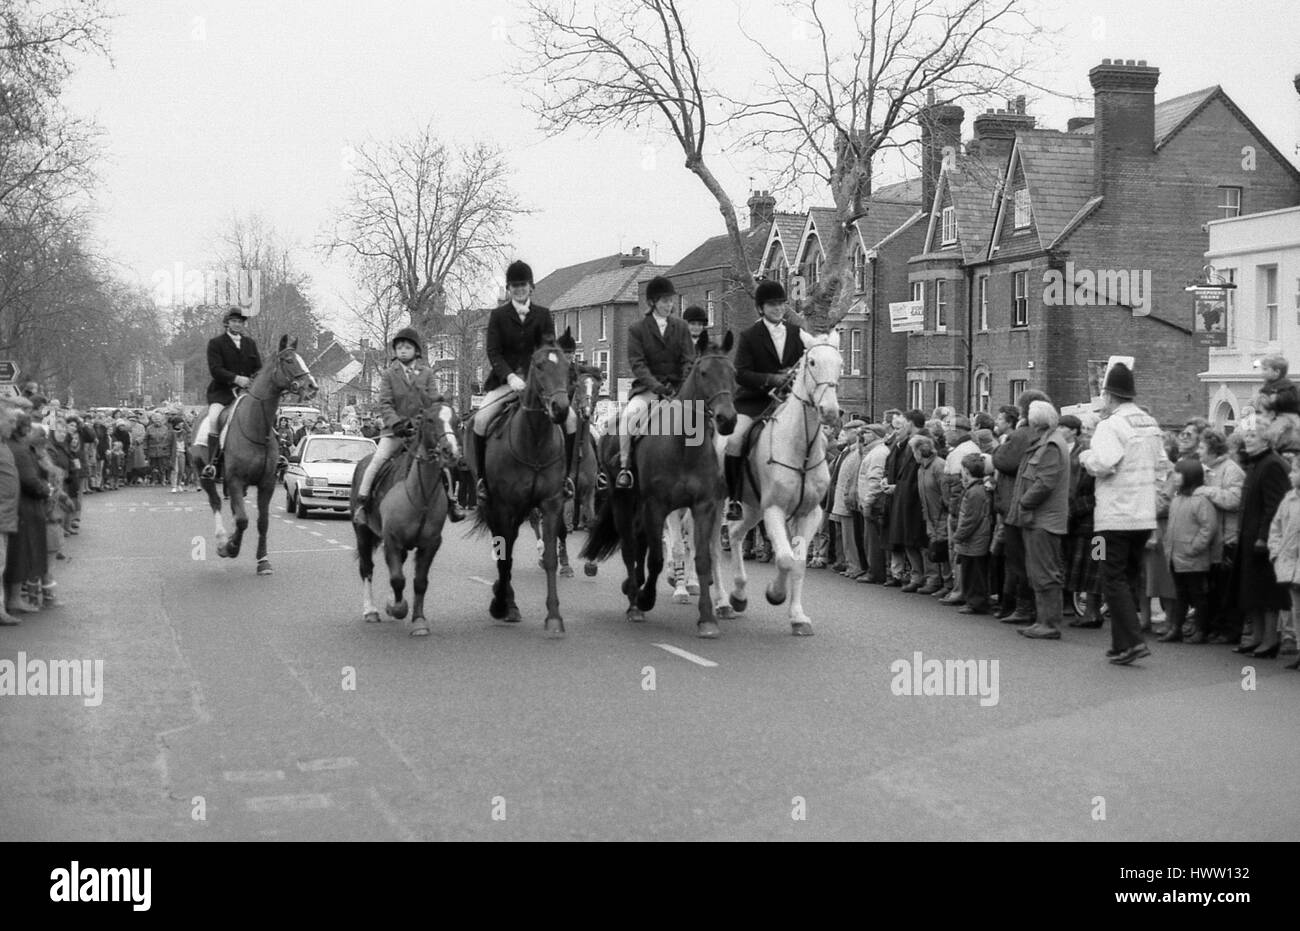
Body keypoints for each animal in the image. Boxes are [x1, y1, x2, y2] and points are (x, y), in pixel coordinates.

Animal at [189, 331, 315, 572]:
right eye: (288, 360)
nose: (313, 387)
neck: (255, 425)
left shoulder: (266, 483)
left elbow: (261, 522)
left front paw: (263, 560)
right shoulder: (235, 480)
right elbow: (243, 520)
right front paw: (230, 547)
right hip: (205, 474)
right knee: (216, 503)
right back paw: (222, 540)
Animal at [351, 395, 462, 637]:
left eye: (457, 421)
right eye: (430, 420)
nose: (450, 452)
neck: (421, 495)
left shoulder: (430, 543)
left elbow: (419, 582)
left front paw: (419, 621)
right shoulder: (391, 540)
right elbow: (397, 579)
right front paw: (398, 608)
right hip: (362, 533)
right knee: (366, 569)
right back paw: (371, 611)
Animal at [467, 332, 569, 631]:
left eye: (568, 366)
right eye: (539, 366)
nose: (561, 409)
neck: (534, 440)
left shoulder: (551, 503)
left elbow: (550, 558)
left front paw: (554, 616)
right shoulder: (504, 506)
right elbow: (506, 556)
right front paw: (501, 604)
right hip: (492, 505)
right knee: (502, 546)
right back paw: (506, 600)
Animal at [585, 332, 738, 639]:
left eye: (733, 373)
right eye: (703, 372)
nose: (727, 420)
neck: (683, 445)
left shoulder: (704, 506)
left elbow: (702, 559)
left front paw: (707, 619)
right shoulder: (657, 506)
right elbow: (657, 557)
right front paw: (645, 598)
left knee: (640, 542)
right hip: (623, 500)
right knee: (630, 546)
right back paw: (634, 600)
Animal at [712, 335, 842, 639]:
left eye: (841, 363)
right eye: (812, 362)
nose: (830, 412)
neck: (801, 449)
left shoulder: (810, 514)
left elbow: (799, 562)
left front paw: (798, 617)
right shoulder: (774, 510)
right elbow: (784, 558)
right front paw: (775, 593)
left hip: (751, 508)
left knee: (734, 533)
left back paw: (738, 595)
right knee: (711, 548)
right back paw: (722, 602)